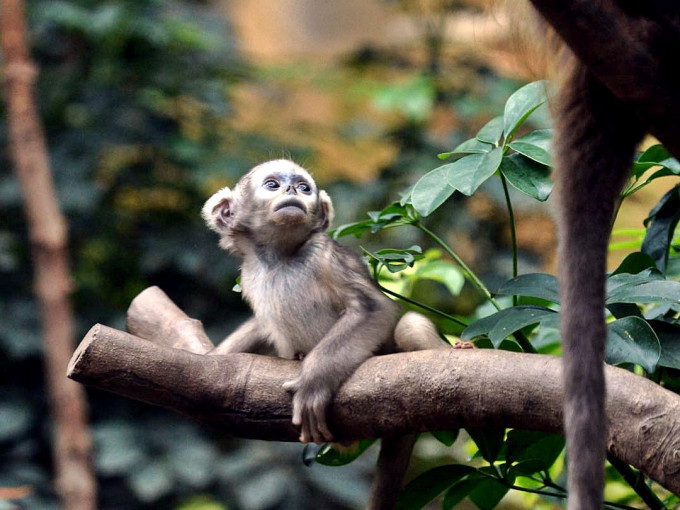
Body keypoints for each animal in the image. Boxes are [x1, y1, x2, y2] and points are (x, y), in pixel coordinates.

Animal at [202, 158, 446, 446]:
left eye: (304, 187)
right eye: (272, 184)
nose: (292, 190)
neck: (279, 259)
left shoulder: (324, 252)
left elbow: (373, 308)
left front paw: (313, 384)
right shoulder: (249, 274)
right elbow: (260, 326)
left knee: (410, 325)